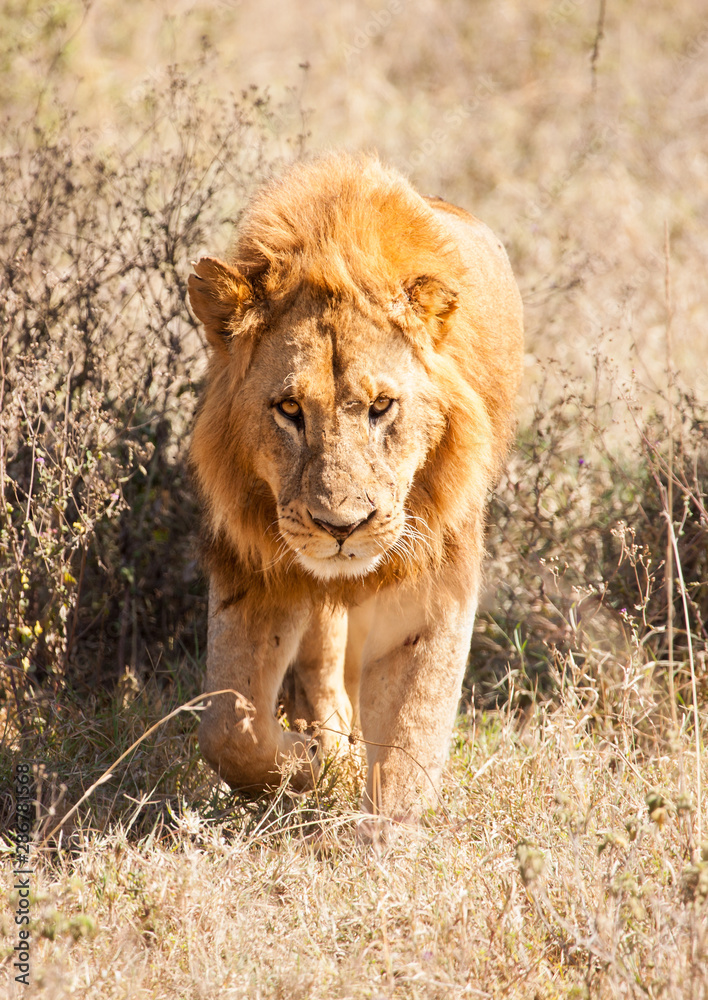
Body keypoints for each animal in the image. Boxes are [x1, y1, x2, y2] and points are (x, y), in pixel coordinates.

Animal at [185, 152, 524, 824]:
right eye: (289, 408)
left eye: (381, 407)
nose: (342, 528)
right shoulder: (252, 566)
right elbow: (228, 729)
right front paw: (308, 767)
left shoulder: (435, 578)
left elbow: (410, 730)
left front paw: (384, 830)